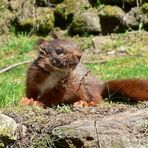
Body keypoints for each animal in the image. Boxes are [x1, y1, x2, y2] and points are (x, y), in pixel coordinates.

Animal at [20, 34, 148, 107]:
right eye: (58, 51)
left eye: (74, 44)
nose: (79, 55)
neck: (53, 72)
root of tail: (100, 85)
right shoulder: (33, 79)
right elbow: (31, 92)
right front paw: (27, 100)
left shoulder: (61, 88)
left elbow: (51, 97)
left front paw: (39, 102)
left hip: (86, 87)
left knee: (97, 99)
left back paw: (85, 103)